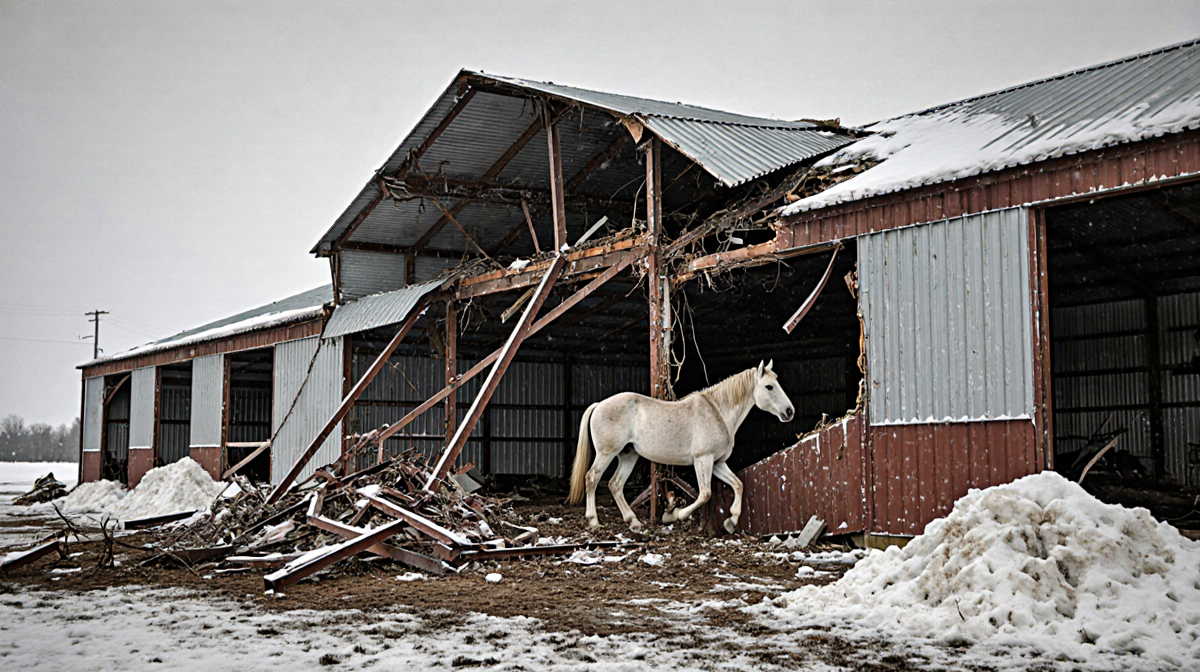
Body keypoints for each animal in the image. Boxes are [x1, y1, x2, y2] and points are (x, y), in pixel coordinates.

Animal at [566, 360, 794, 533]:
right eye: (769, 386)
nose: (789, 411)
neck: (718, 412)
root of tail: (599, 405)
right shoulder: (703, 459)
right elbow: (705, 494)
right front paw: (673, 515)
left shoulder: (717, 463)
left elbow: (738, 485)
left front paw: (730, 522)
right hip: (607, 454)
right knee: (592, 478)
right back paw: (594, 521)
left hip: (628, 455)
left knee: (615, 484)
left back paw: (634, 521)